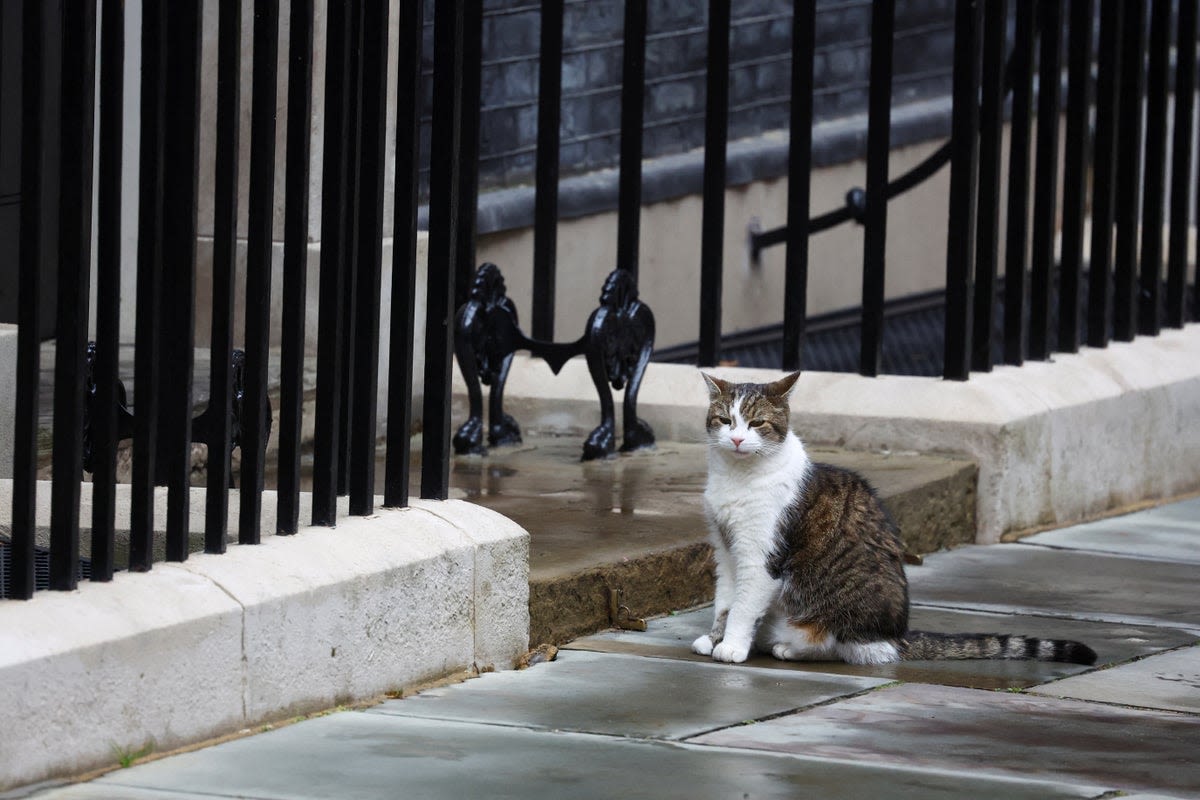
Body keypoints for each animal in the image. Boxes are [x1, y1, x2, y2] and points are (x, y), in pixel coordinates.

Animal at [696, 371, 1099, 666]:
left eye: (757, 423)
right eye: (725, 420)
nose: (736, 439)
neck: (737, 477)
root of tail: (898, 635)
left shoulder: (761, 555)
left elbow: (743, 606)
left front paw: (732, 646)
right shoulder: (726, 550)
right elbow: (725, 601)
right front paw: (714, 639)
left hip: (836, 613)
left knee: (849, 646)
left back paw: (790, 646)